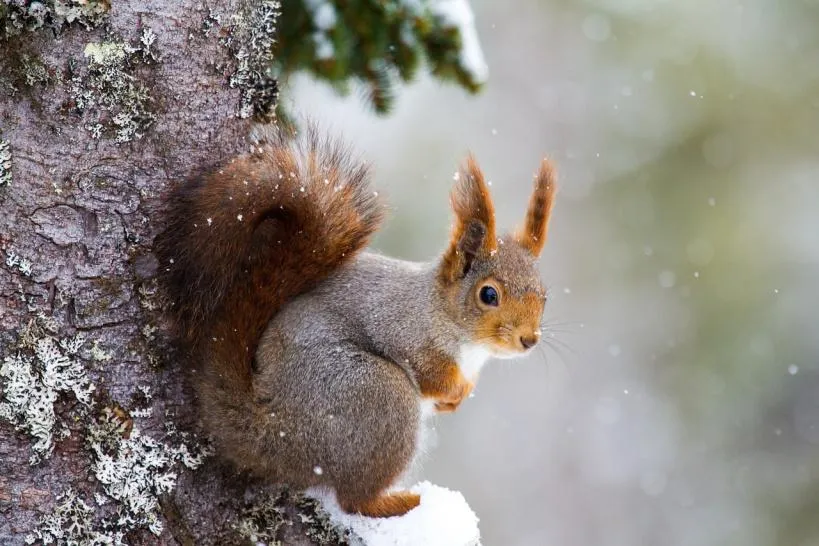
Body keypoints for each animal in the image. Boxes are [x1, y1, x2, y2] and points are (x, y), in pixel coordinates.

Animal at [155, 124, 556, 520]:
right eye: (488, 295)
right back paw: (399, 502)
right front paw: (454, 389)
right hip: (379, 395)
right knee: (354, 500)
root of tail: (279, 431)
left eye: (544, 295)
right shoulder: (405, 329)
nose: (529, 340)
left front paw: (458, 398)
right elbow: (431, 373)